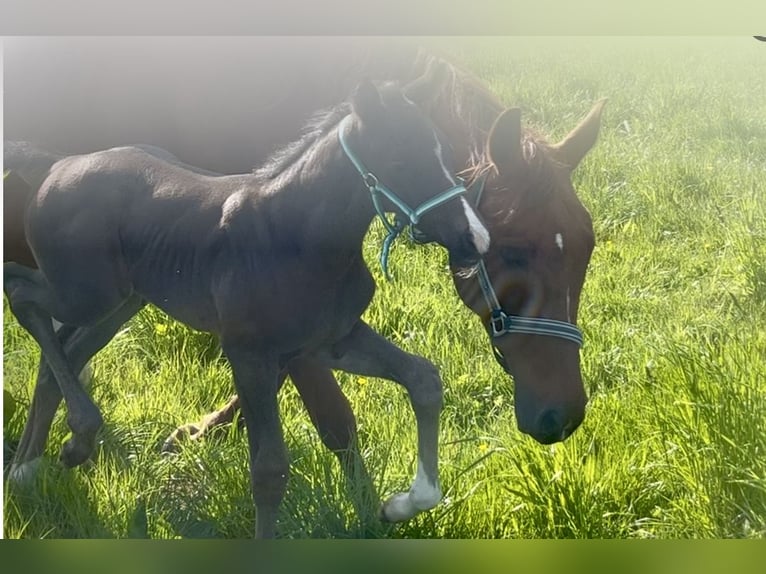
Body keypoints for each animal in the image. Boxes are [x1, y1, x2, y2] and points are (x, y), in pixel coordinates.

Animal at [4, 38, 605, 534]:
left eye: (585, 247)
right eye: (515, 250)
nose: (562, 417)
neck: (295, 229)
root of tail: (53, 166)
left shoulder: (330, 339)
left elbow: (421, 380)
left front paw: (397, 506)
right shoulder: (253, 350)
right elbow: (281, 461)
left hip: (120, 300)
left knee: (65, 349)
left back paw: (39, 461)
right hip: (86, 292)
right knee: (24, 297)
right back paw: (64, 442)